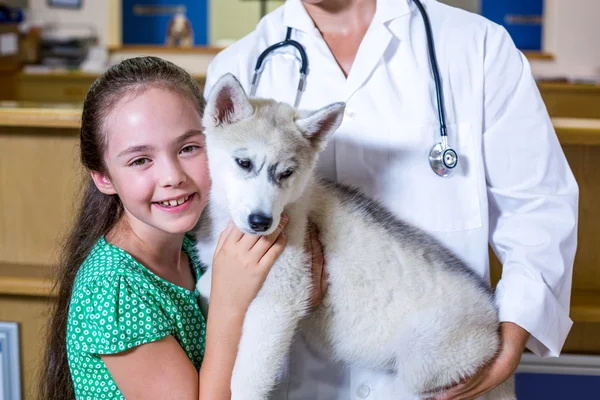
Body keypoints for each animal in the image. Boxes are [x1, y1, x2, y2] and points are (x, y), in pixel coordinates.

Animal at [193, 72, 516, 400]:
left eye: (286, 173)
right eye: (243, 163)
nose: (261, 222)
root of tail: (493, 321)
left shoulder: (282, 296)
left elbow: (247, 376)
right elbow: (206, 284)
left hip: (426, 359)